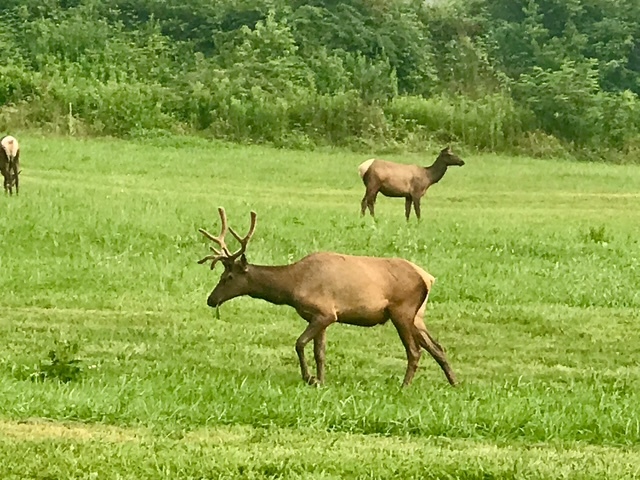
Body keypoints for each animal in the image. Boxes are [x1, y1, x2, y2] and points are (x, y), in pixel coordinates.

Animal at [198, 206, 458, 386]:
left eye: (228, 277)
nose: (211, 300)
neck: (292, 286)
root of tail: (428, 278)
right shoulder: (320, 317)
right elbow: (319, 352)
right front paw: (321, 380)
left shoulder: (325, 313)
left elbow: (299, 343)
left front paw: (309, 378)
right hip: (417, 316)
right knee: (437, 347)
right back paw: (455, 382)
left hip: (402, 310)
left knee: (415, 351)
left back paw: (404, 386)